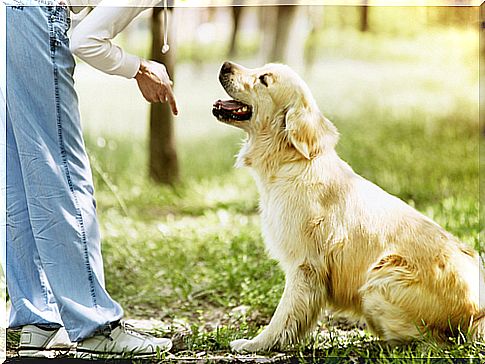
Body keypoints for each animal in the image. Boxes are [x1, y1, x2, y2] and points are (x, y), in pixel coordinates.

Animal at [212, 60, 484, 352]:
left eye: (264, 79)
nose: (225, 65)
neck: (292, 161)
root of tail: (478, 313)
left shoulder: (305, 266)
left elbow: (283, 316)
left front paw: (257, 344)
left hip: (380, 279)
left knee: (433, 342)